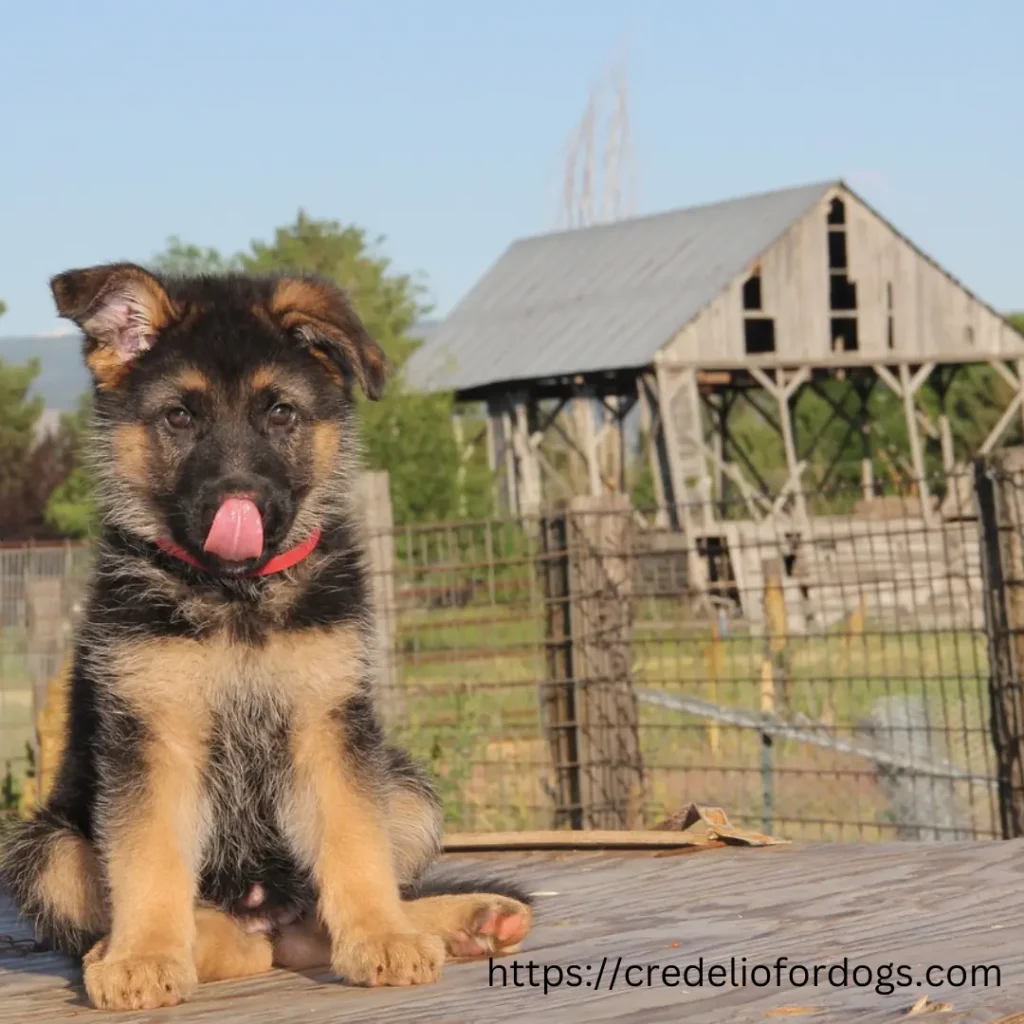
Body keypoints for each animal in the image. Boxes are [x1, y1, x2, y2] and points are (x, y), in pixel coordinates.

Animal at [0, 264, 528, 1007]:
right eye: (180, 416)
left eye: (280, 413)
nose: (238, 503)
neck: (237, 596)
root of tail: (263, 915)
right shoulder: (155, 734)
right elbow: (149, 857)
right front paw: (144, 954)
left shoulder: (326, 723)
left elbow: (354, 842)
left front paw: (382, 936)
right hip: (43, 850)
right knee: (228, 941)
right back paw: (149, 947)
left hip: (407, 792)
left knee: (314, 924)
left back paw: (459, 921)